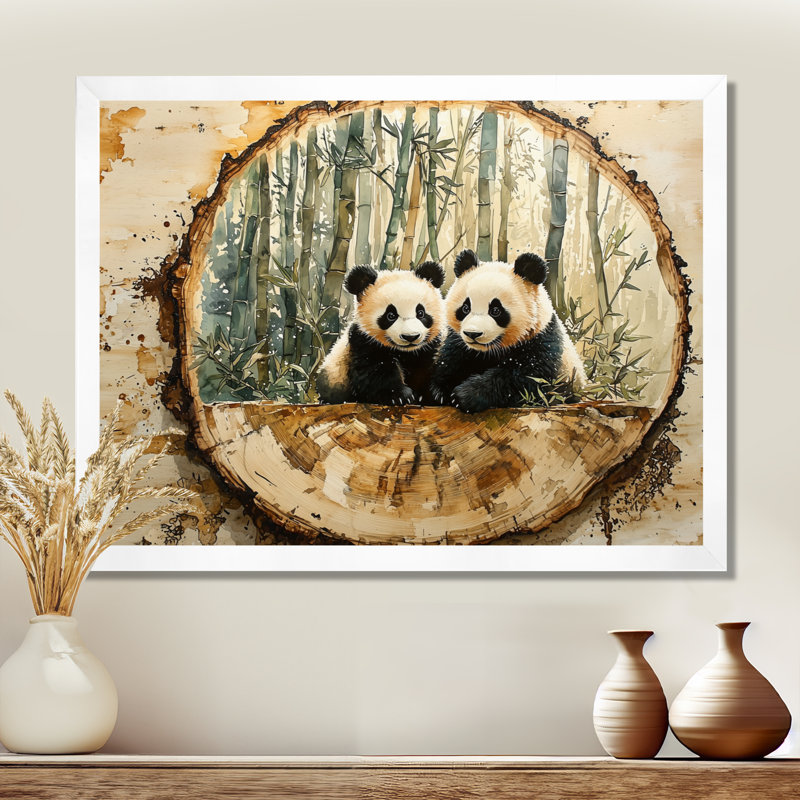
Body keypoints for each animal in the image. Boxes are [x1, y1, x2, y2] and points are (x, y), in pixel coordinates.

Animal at [316, 261, 446, 406]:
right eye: (390, 315)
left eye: (420, 313)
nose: (410, 337)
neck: (405, 351)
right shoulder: (363, 340)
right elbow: (374, 371)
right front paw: (400, 395)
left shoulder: (428, 347)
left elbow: (427, 367)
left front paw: (433, 395)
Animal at [430, 249, 586, 413]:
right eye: (465, 308)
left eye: (496, 310)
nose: (473, 334)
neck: (488, 351)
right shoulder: (459, 343)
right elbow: (452, 359)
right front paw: (442, 392)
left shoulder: (542, 340)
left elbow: (525, 378)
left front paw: (465, 395)